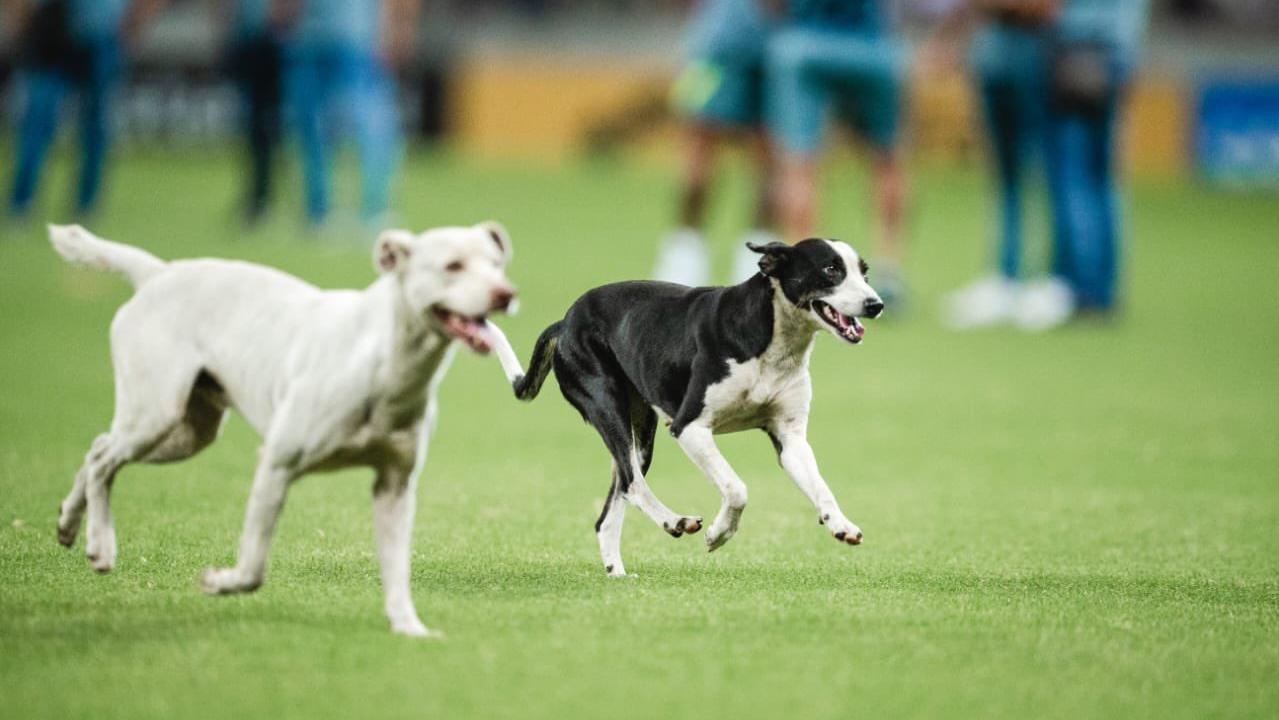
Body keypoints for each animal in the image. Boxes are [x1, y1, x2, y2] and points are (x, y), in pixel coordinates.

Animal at [48, 223, 519, 636]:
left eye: (497, 264)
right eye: (453, 265)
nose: (506, 294)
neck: (385, 361)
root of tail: (158, 273)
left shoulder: (395, 486)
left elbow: (397, 572)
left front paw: (409, 629)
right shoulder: (277, 464)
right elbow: (254, 566)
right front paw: (220, 582)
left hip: (186, 432)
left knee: (98, 448)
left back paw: (70, 523)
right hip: (156, 413)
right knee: (104, 460)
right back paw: (101, 544)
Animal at [503, 239, 885, 578]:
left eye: (864, 272)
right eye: (831, 269)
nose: (876, 304)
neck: (771, 339)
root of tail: (564, 322)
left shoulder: (791, 440)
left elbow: (822, 488)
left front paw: (841, 525)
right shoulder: (689, 428)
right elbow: (737, 489)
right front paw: (718, 534)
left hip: (640, 434)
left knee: (613, 505)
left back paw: (617, 574)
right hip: (609, 410)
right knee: (633, 484)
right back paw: (675, 521)